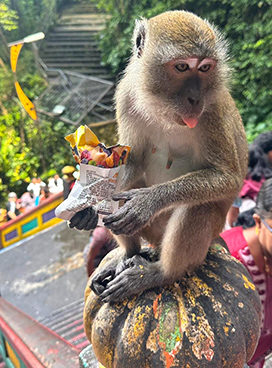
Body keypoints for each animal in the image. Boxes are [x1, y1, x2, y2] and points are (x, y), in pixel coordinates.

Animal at [69, 10, 248, 302]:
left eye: (205, 68)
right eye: (182, 67)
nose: (195, 98)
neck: (163, 108)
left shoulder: (212, 110)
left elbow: (228, 177)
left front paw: (148, 201)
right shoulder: (126, 95)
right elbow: (128, 161)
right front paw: (90, 208)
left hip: (206, 233)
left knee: (199, 206)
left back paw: (159, 273)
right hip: (152, 232)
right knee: (122, 196)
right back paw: (129, 255)